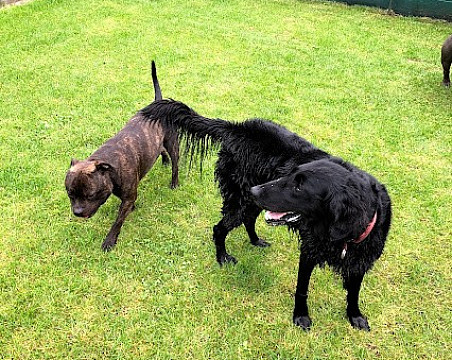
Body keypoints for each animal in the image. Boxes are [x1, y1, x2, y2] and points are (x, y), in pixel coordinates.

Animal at [65, 61, 178, 250]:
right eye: (70, 194)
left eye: (90, 195)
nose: (78, 212)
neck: (107, 164)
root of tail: (159, 103)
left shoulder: (128, 195)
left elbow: (118, 221)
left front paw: (110, 240)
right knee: (161, 151)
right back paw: (164, 162)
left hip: (172, 143)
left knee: (176, 164)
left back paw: (174, 182)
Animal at [251, 158, 392, 332]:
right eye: (289, 174)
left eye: (299, 187)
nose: (254, 191)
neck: (344, 239)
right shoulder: (308, 253)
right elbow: (302, 289)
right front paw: (301, 315)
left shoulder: (360, 263)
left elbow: (354, 293)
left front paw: (355, 316)